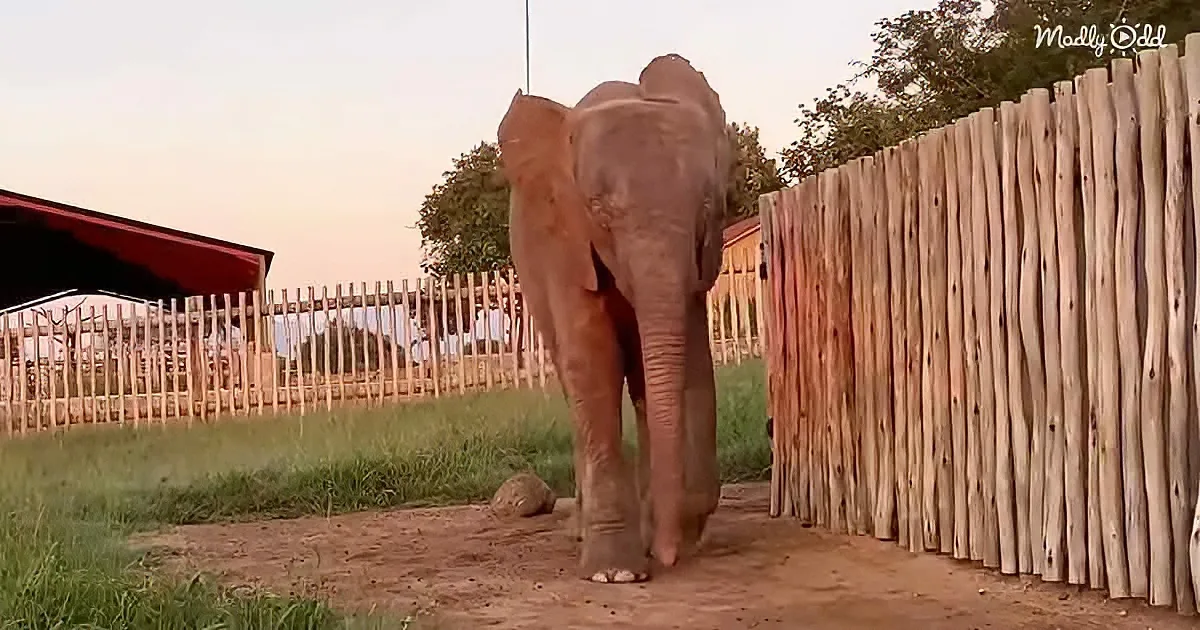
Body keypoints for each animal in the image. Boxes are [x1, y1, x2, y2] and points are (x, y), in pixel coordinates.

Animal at [496, 54, 732, 583]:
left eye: (707, 207)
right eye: (599, 211)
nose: (667, 555)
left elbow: (684, 363)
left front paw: (672, 533)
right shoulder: (564, 242)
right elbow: (593, 361)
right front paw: (616, 573)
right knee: (572, 381)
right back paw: (581, 534)